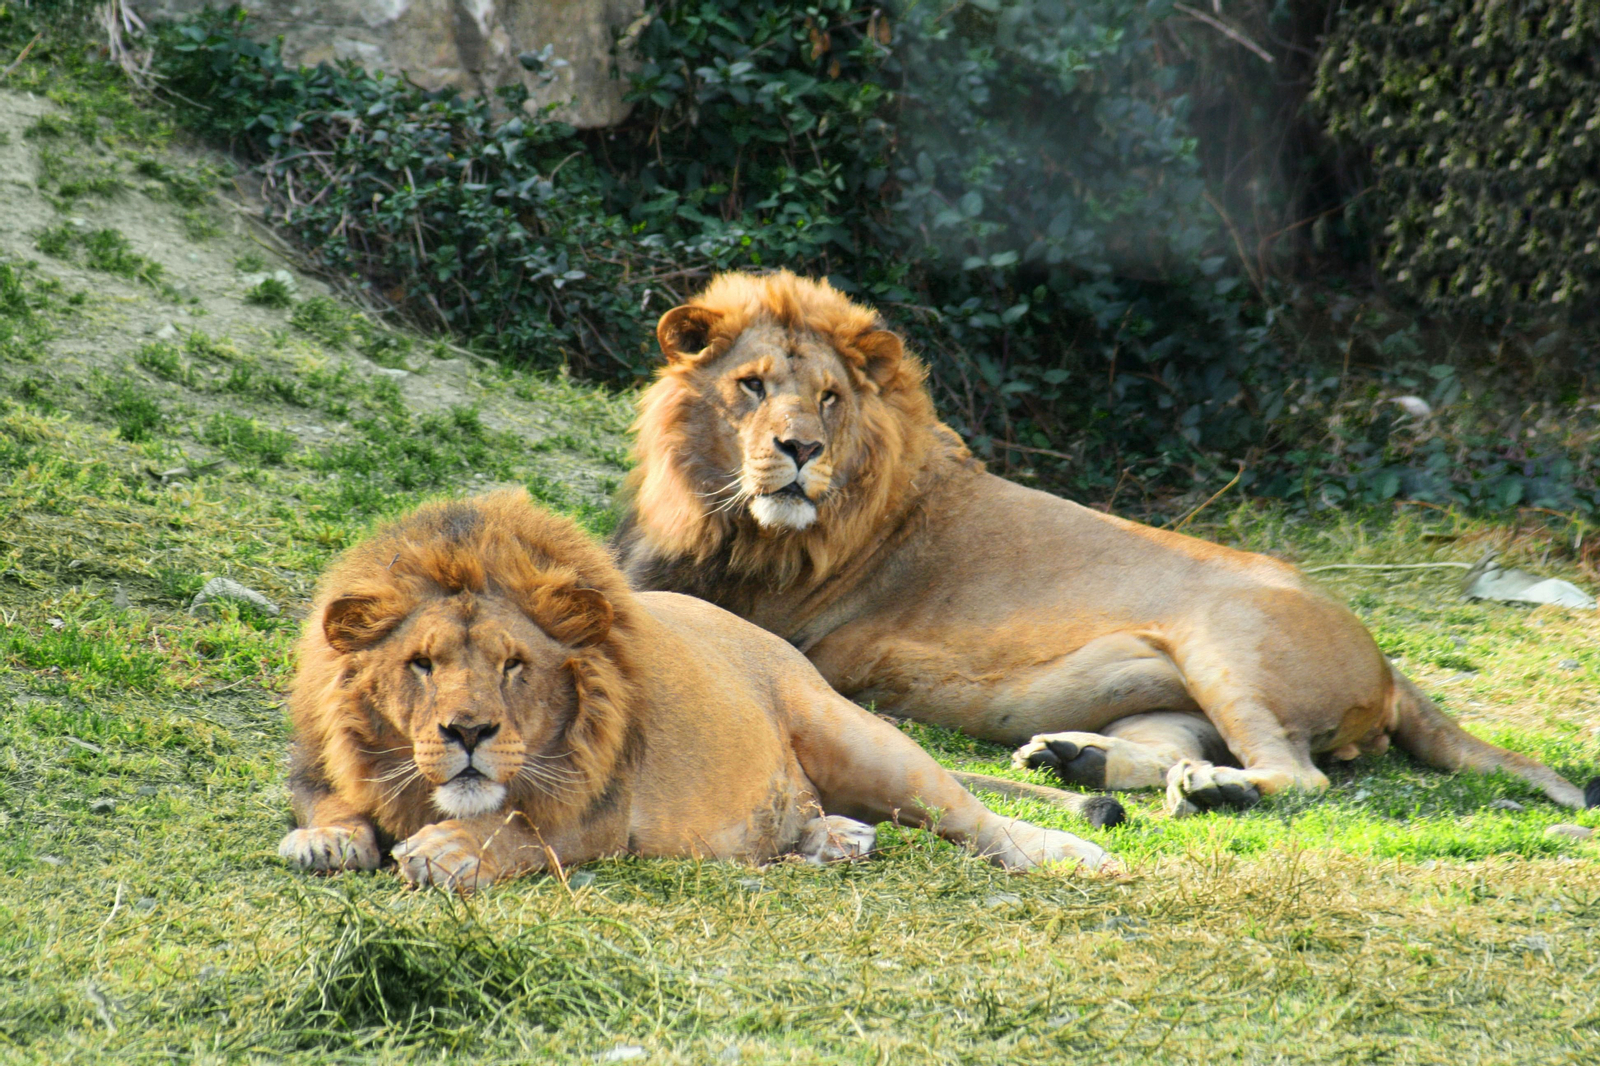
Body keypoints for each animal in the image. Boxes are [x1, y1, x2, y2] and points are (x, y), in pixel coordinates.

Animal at [277, 489, 1112, 890]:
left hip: (857, 738)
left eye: (514, 665)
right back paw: (831, 838)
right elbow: (330, 803)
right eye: (421, 663)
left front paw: (448, 851)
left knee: (974, 817)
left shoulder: (606, 811)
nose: (469, 733)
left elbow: (522, 829)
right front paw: (326, 839)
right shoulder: (319, 764)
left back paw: (1076, 854)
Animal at [612, 270, 1599, 817]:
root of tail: (1392, 665)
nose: (800, 450)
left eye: (828, 399)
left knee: (1296, 775)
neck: (718, 512)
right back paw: (1074, 758)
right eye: (750, 385)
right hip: (1169, 693)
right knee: (1177, 749)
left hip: (1228, 642)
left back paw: (1211, 791)